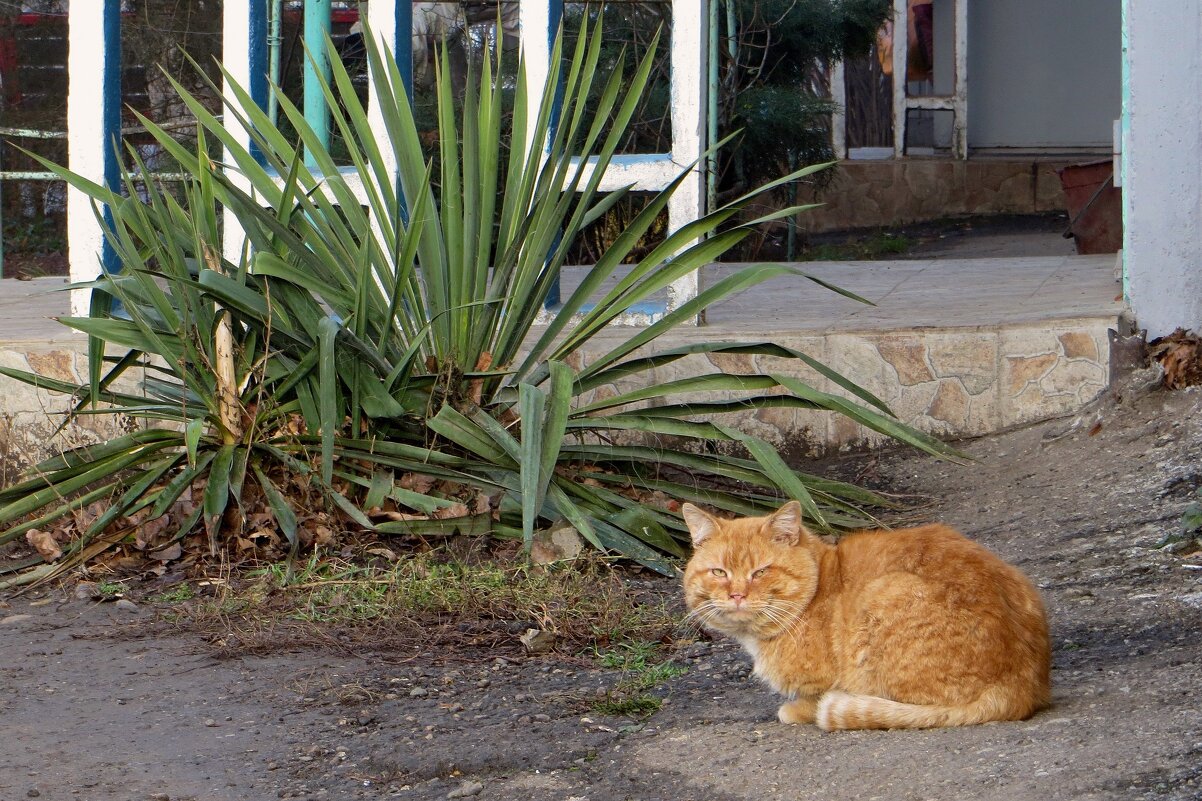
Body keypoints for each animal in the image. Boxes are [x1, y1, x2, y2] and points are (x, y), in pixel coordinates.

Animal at [687, 502, 1052, 726]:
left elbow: (814, 697)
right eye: (719, 572)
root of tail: (1020, 685)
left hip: (886, 593)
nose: (736, 595)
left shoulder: (822, 681)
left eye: (760, 572)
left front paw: (800, 709)